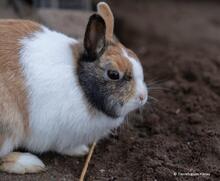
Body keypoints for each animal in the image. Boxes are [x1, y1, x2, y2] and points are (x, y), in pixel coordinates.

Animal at [0, 1, 148, 174]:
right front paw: (80, 150)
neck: (80, 81)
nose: (142, 97)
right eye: (113, 74)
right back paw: (28, 163)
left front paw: (81, 149)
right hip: (9, 126)